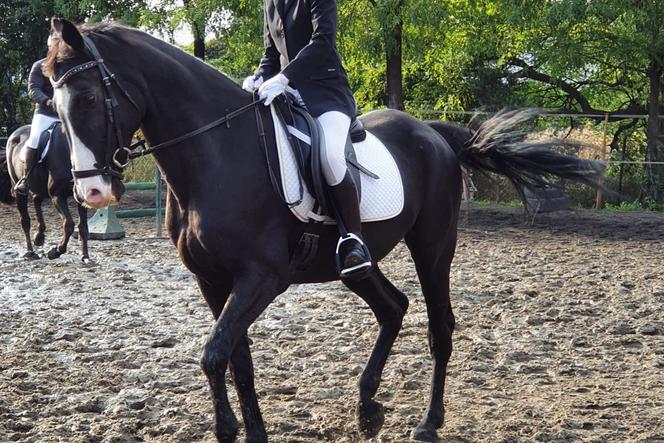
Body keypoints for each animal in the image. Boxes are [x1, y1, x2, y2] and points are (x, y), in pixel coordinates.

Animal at [1, 123, 89, 262]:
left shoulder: (81, 199)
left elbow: (83, 227)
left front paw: (85, 256)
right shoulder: (57, 196)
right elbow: (69, 224)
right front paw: (56, 251)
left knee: (36, 199)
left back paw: (39, 237)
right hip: (18, 189)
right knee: (25, 220)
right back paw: (30, 251)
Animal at [45, 20, 608, 443]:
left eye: (90, 98)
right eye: (55, 104)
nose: (91, 191)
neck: (217, 156)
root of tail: (433, 133)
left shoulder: (261, 279)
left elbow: (214, 355)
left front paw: (229, 431)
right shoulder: (213, 281)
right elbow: (236, 359)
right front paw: (252, 433)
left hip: (433, 246)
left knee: (439, 326)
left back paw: (427, 424)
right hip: (355, 263)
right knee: (393, 307)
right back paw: (367, 409)